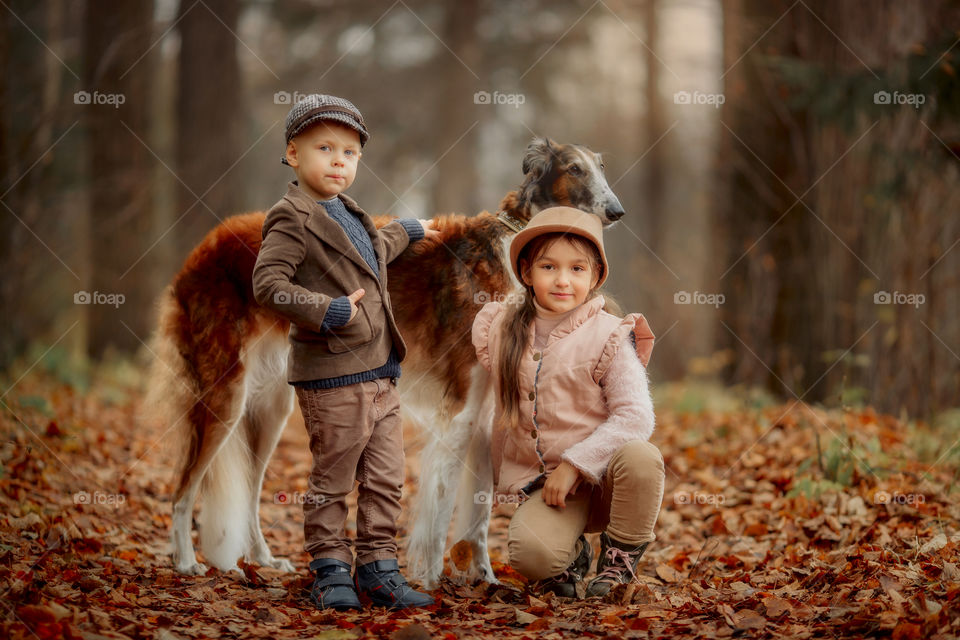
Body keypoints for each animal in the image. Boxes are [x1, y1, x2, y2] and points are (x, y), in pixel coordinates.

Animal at [142, 138, 624, 588]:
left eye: (602, 166)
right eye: (574, 169)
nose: (617, 211)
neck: (512, 250)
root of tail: (205, 244)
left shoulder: (486, 412)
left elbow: (480, 513)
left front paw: (485, 578)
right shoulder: (461, 410)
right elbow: (442, 504)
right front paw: (431, 580)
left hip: (270, 408)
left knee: (248, 488)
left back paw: (262, 559)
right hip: (224, 395)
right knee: (183, 487)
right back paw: (184, 561)